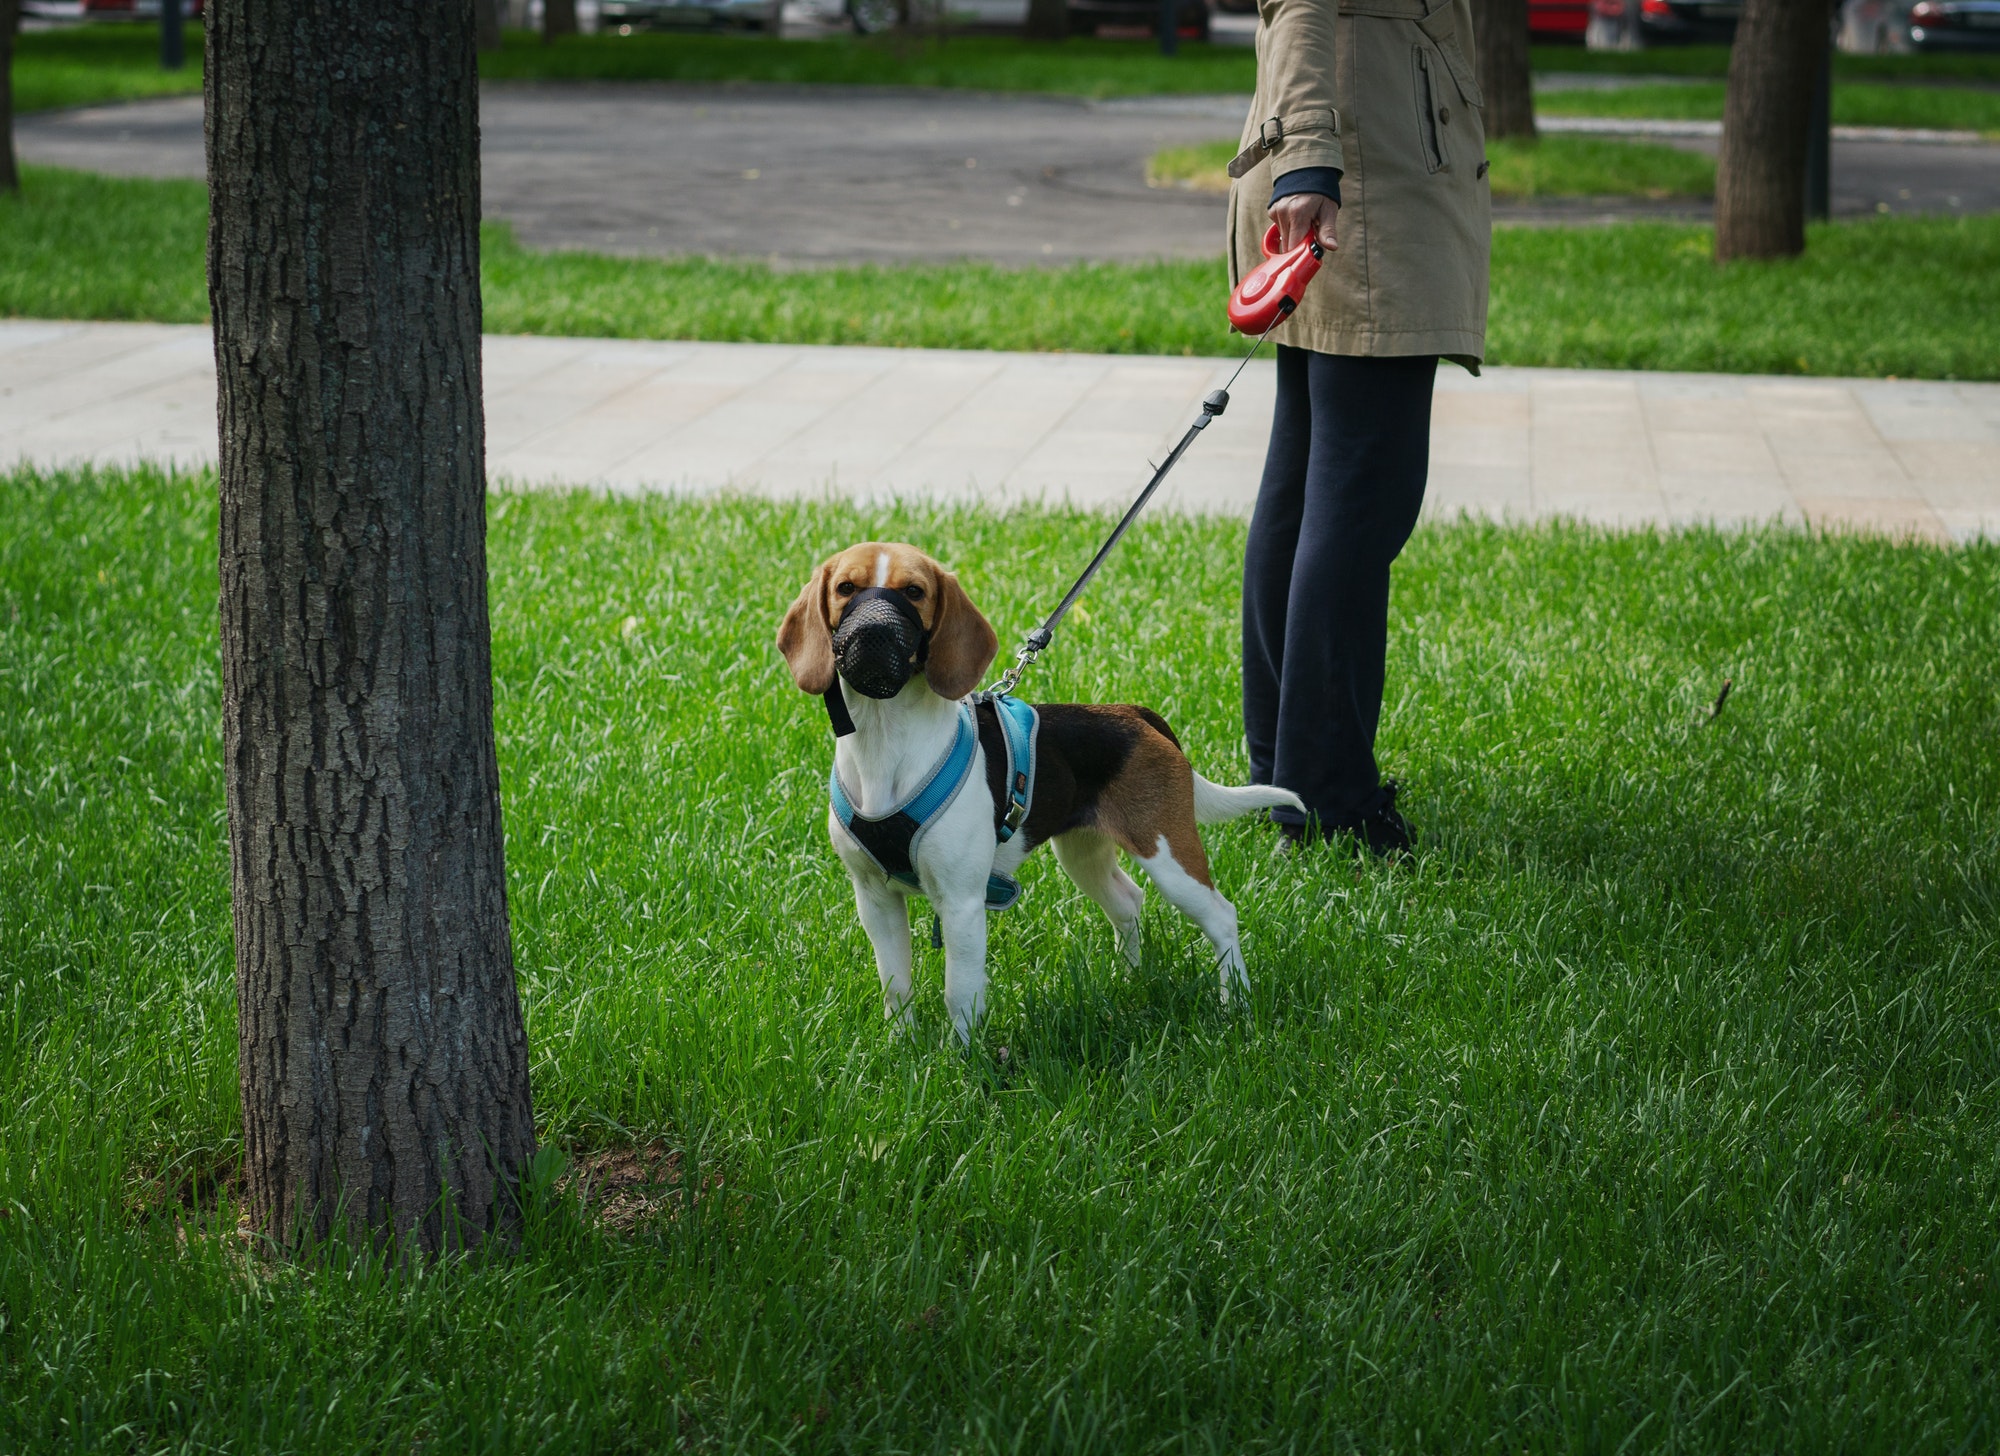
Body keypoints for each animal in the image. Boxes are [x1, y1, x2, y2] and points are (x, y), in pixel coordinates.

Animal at [772, 540, 1304, 1040]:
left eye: (914, 592)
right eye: (846, 588)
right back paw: (1129, 981)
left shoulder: (963, 904)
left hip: (1168, 856)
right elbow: (896, 986)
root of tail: (1134, 714)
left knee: (1222, 916)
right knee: (1128, 902)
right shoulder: (875, 899)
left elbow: (959, 994)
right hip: (1083, 855)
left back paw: (1235, 1005)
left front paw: (961, 1060)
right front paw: (903, 1048)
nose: (874, 632)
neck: (885, 742)